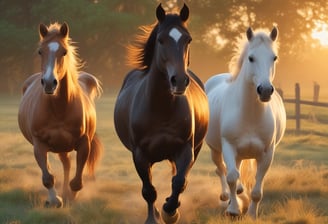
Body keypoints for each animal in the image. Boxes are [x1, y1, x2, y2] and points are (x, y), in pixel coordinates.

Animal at [18, 22, 102, 208]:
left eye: (64, 52)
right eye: (40, 51)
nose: (49, 83)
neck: (59, 109)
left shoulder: (84, 143)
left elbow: (77, 181)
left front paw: (70, 197)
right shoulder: (39, 144)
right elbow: (48, 177)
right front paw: (55, 199)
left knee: (68, 165)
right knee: (64, 165)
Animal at [114, 3, 209, 224]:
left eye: (188, 39)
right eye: (161, 40)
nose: (179, 81)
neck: (161, 108)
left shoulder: (185, 149)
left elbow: (179, 181)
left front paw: (170, 211)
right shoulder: (140, 154)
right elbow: (149, 190)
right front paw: (154, 217)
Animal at [206, 26, 286, 219]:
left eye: (274, 57)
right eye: (251, 58)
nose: (265, 90)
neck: (250, 114)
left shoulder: (267, 153)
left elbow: (256, 190)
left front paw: (251, 214)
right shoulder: (228, 146)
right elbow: (231, 177)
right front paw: (233, 210)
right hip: (215, 149)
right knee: (221, 169)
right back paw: (225, 196)